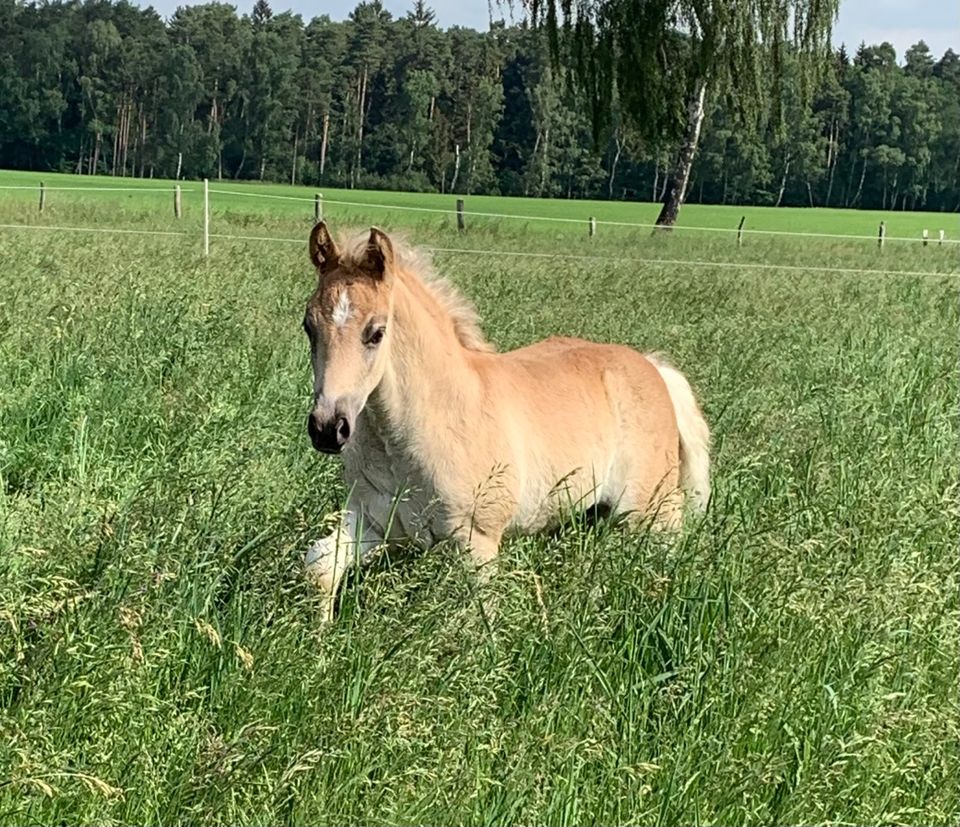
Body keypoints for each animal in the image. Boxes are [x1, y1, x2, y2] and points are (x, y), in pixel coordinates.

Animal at [302, 223, 712, 616]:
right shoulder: (372, 520)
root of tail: (654, 368)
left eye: (376, 332)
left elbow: (478, 614)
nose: (328, 428)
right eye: (309, 326)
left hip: (650, 510)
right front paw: (322, 635)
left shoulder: (477, 541)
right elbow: (319, 566)